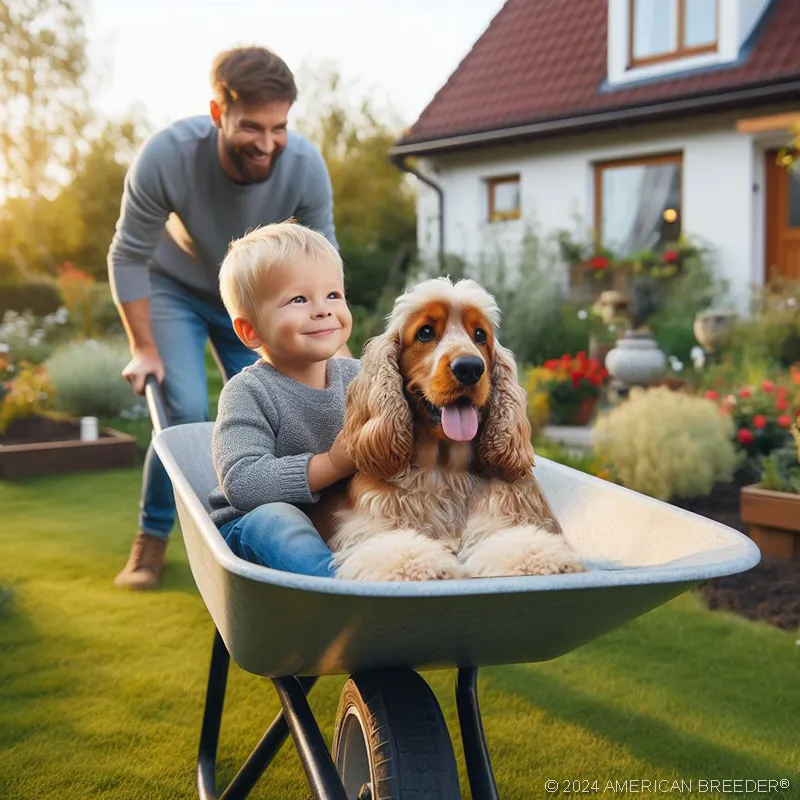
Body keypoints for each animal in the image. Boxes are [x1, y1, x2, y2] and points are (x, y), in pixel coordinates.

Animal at [326, 276, 588, 580]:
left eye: (480, 335)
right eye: (425, 332)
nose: (470, 368)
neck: (444, 469)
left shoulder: (507, 514)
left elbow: (518, 541)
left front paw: (546, 563)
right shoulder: (372, 525)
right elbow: (395, 546)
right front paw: (424, 569)